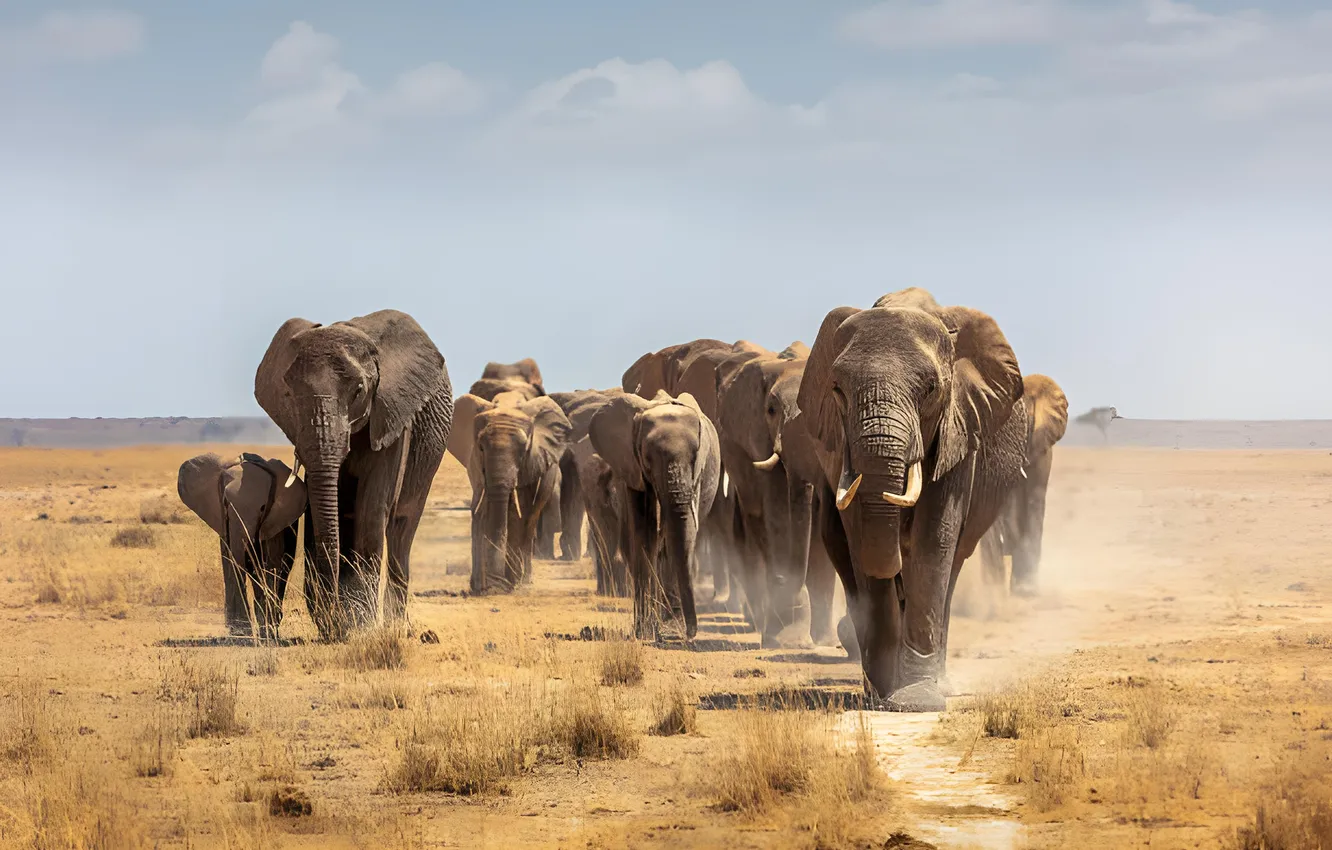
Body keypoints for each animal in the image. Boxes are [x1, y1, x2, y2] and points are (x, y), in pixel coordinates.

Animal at [178, 452, 306, 640]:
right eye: (225, 502)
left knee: (281, 569)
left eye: (262, 508)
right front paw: (240, 631)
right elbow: (229, 561)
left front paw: (262, 631)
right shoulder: (223, 520)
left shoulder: (273, 521)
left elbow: (269, 565)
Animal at [255, 310, 453, 641]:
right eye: (289, 394)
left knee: (401, 529)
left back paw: (397, 625)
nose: (332, 616)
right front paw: (340, 623)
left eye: (359, 391)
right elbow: (321, 509)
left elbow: (371, 508)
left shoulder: (391, 416)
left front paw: (361, 625)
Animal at [451, 392, 572, 593]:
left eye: (524, 450)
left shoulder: (530, 464)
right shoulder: (475, 465)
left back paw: (525, 581)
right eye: (480, 447)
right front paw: (481, 587)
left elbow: (517, 514)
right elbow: (481, 509)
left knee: (530, 521)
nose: (494, 584)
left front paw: (507, 584)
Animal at [589, 391, 721, 640]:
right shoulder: (632, 466)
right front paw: (643, 631)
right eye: (648, 459)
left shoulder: (697, 475)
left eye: (695, 457)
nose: (690, 633)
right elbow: (645, 532)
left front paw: (669, 628)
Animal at [798, 288, 1024, 711]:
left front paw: (917, 699)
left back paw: (938, 682)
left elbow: (934, 538)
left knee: (951, 565)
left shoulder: (959, 427)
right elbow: (861, 538)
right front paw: (887, 694)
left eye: (931, 389)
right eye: (837, 389)